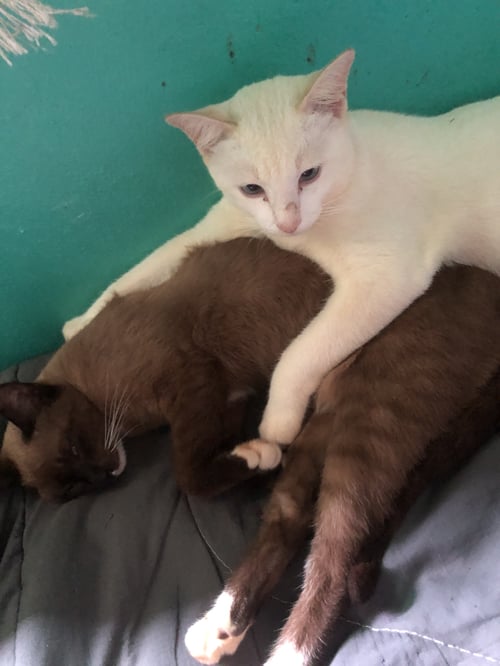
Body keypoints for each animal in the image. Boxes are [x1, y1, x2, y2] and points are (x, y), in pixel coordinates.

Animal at [62, 49, 500, 456]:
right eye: (252, 189)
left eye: (309, 174)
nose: (288, 223)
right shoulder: (223, 225)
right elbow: (146, 266)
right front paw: (83, 320)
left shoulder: (387, 276)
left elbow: (299, 354)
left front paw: (277, 423)